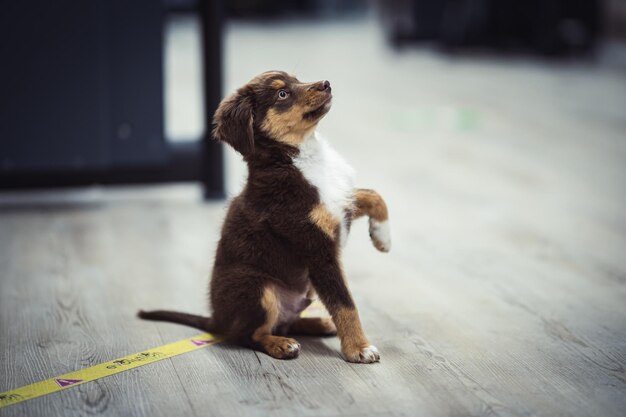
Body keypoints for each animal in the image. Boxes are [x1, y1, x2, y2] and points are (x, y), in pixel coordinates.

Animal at [140, 70, 390, 362]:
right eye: (282, 94)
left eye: (297, 80)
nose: (326, 84)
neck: (300, 157)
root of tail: (217, 320)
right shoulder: (316, 248)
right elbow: (344, 302)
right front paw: (358, 348)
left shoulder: (340, 203)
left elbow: (372, 195)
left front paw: (383, 238)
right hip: (257, 286)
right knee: (249, 334)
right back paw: (281, 345)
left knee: (283, 322)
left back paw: (317, 323)